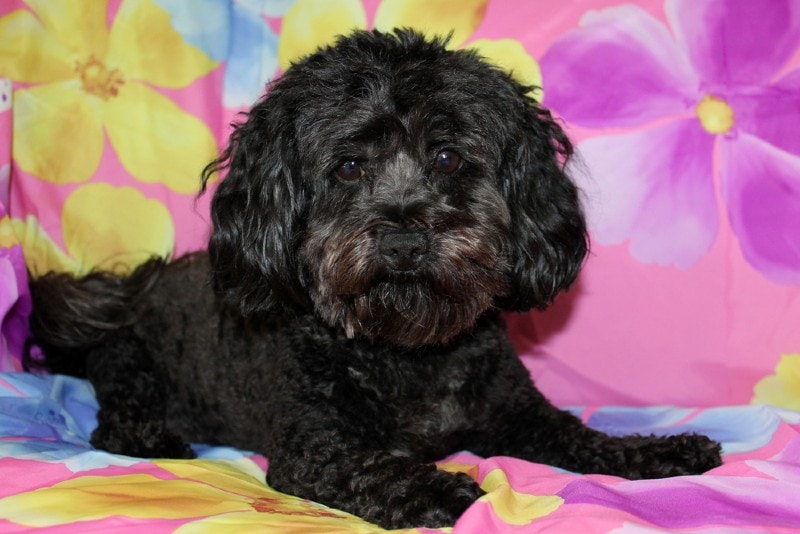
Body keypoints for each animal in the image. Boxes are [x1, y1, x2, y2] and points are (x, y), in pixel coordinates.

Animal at [28, 30, 720, 532]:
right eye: (348, 166)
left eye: (447, 157)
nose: (405, 240)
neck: (408, 351)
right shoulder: (314, 447)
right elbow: (376, 469)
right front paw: (439, 487)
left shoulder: (517, 411)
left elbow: (581, 436)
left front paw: (656, 452)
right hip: (129, 364)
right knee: (116, 422)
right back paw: (157, 435)